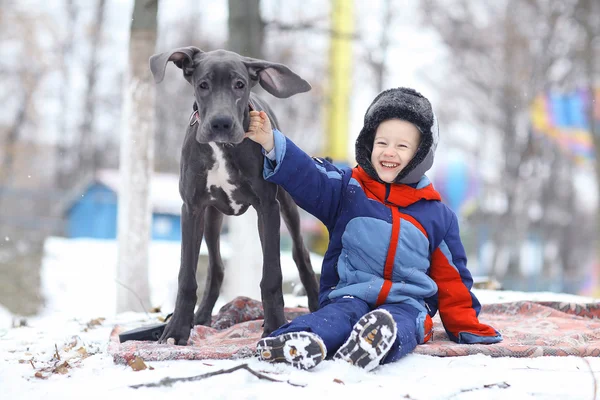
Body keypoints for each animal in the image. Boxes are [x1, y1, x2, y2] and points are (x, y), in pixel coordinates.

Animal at [148, 47, 322, 344]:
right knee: (216, 267)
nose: (221, 123)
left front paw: (274, 326)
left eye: (239, 85)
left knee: (302, 256)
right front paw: (178, 329)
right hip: (212, 218)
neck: (221, 148)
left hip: (288, 204)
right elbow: (187, 276)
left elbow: (272, 274)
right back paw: (202, 316)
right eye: (203, 85)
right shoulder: (192, 208)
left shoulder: (268, 206)